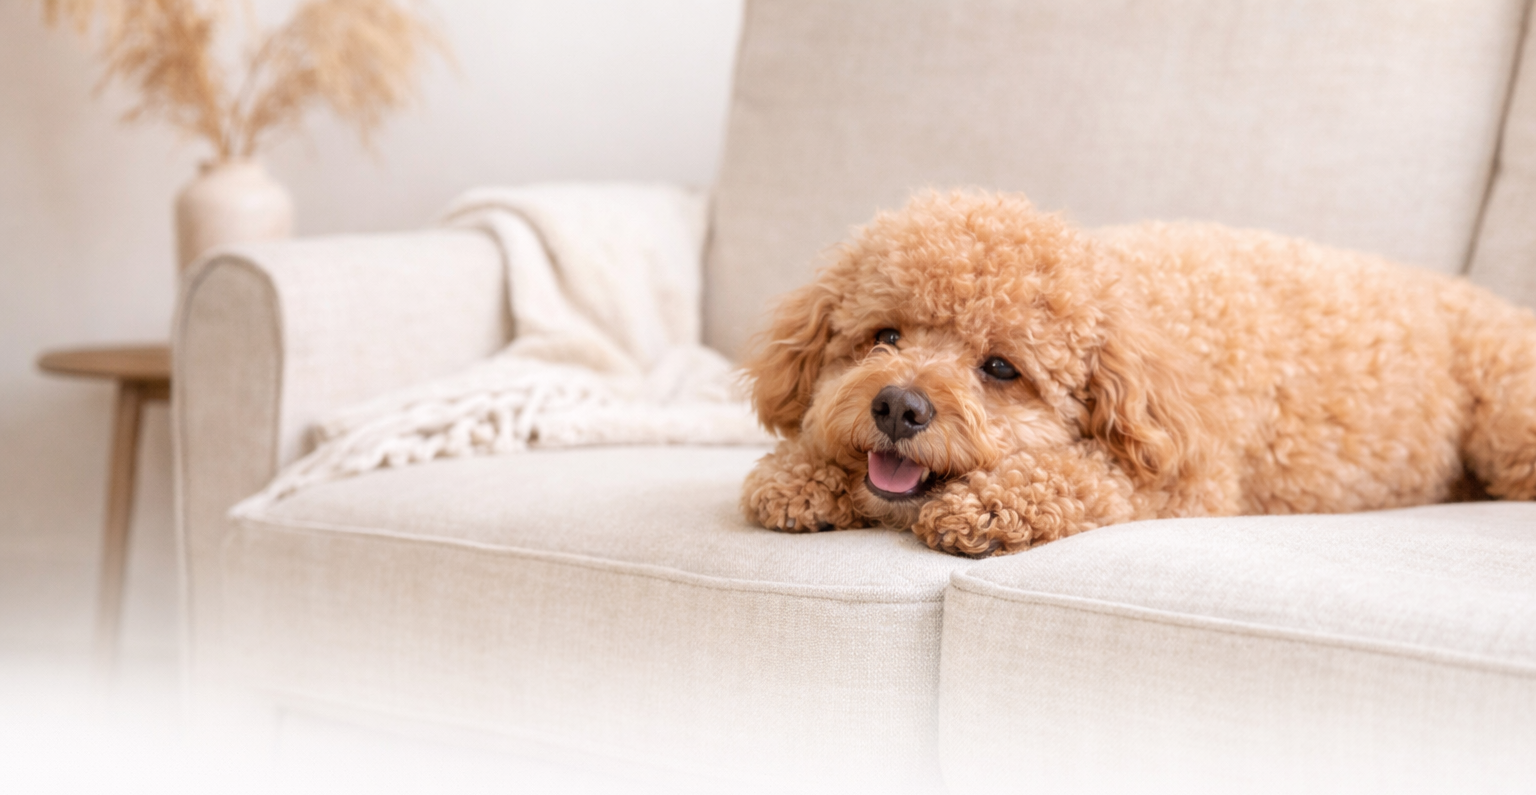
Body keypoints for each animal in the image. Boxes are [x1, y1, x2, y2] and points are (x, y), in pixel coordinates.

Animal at [739, 191, 1536, 557]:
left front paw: (986, 507)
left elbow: (1087, 476)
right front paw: (799, 475)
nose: (899, 407)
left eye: (1000, 368)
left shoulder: (1189, 481)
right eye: (885, 336)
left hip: (1507, 429)